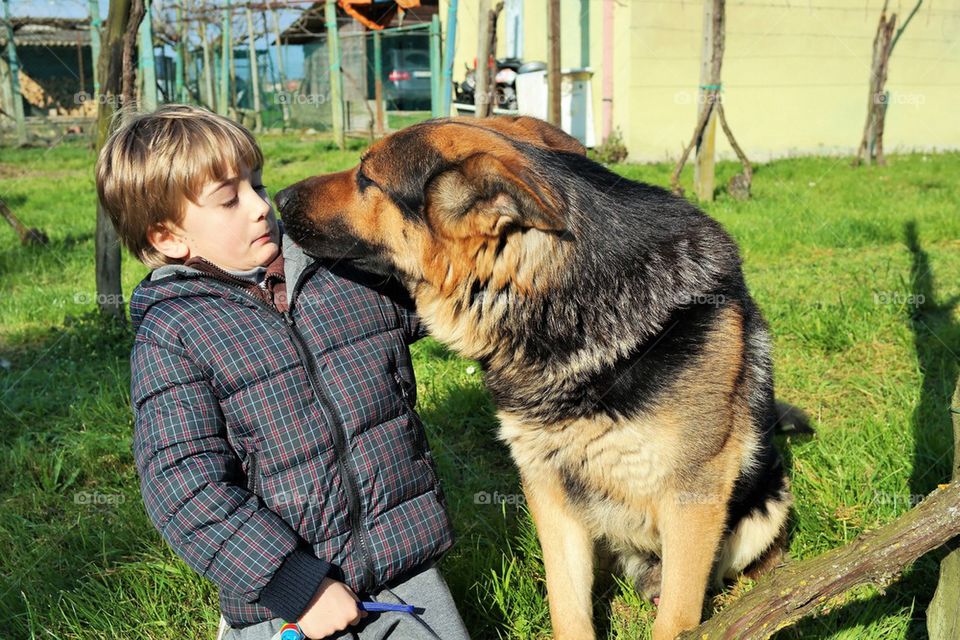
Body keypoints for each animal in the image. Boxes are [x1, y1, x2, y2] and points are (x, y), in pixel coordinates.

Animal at [278, 116, 804, 640]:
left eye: (367, 178)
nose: (278, 198)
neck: (568, 300)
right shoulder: (549, 492)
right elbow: (567, 605)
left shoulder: (693, 496)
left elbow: (676, 617)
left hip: (766, 504)